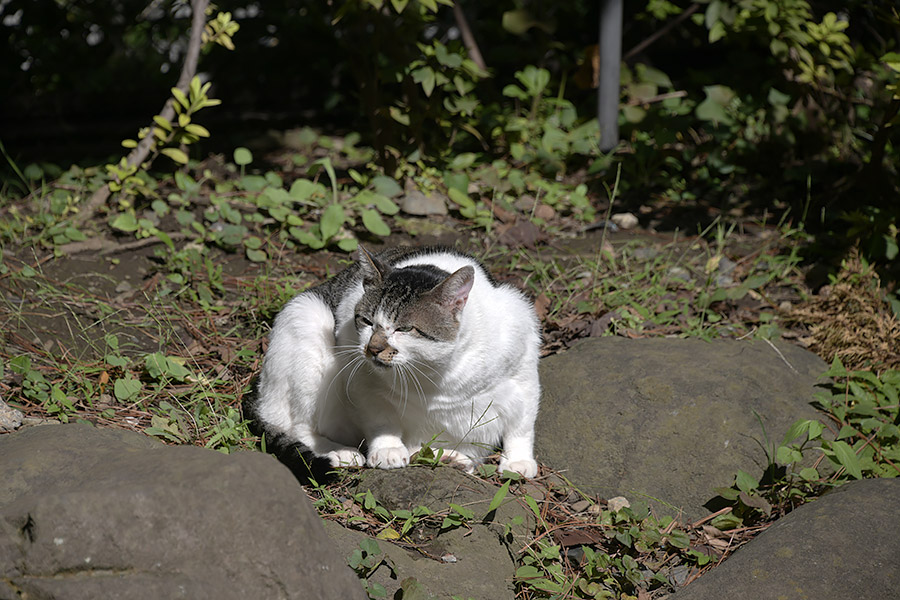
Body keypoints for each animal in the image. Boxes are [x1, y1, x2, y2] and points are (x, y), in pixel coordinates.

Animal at [256, 244, 544, 478]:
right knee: (298, 427)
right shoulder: (362, 380)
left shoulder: (523, 371)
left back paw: (448, 457)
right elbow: (381, 420)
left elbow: (522, 426)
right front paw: (388, 449)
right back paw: (339, 452)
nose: (373, 349)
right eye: (366, 321)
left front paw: (517, 461)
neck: (433, 373)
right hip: (308, 319)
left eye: (404, 329)